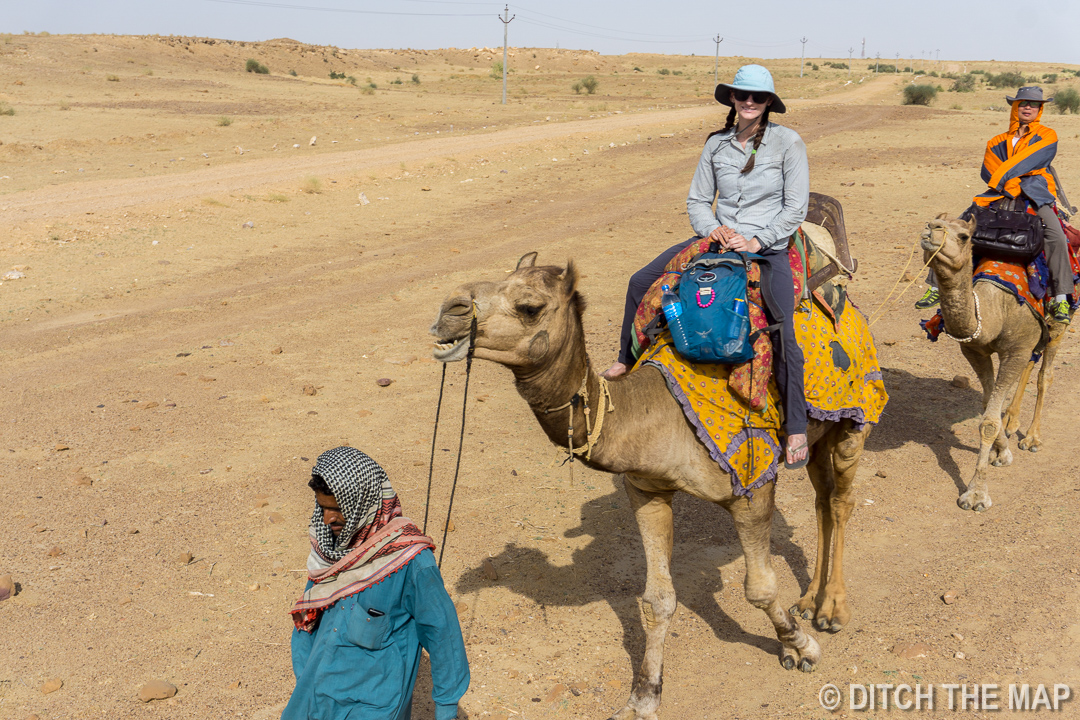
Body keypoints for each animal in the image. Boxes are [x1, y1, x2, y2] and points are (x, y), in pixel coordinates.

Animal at [425, 253, 872, 720]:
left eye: (529, 306)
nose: (450, 309)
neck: (656, 412)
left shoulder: (752, 489)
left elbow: (760, 589)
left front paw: (801, 647)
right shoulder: (646, 491)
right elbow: (658, 600)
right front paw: (643, 697)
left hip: (854, 418)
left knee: (840, 501)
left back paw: (832, 610)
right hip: (820, 438)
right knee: (821, 499)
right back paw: (809, 601)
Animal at [920, 213, 1071, 511]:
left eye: (964, 236)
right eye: (934, 222)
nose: (932, 227)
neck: (992, 311)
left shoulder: (1016, 349)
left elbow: (988, 421)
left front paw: (976, 495)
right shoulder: (975, 351)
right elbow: (987, 405)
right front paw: (1001, 452)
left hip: (1058, 325)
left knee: (1044, 374)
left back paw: (1032, 438)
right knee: (1030, 365)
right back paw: (1012, 423)